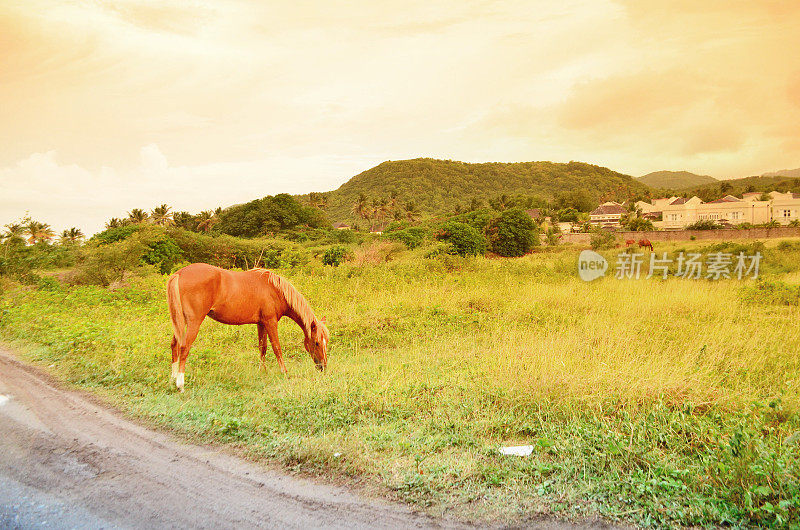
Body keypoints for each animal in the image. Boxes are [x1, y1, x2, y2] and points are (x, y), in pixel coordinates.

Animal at [166, 262, 328, 390]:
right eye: (316, 343)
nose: (323, 367)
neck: (274, 289)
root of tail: (180, 273)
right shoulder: (270, 322)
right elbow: (276, 347)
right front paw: (284, 372)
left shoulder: (261, 323)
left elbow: (263, 348)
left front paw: (262, 371)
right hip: (194, 322)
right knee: (184, 347)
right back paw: (180, 384)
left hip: (181, 321)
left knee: (175, 345)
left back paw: (172, 379)